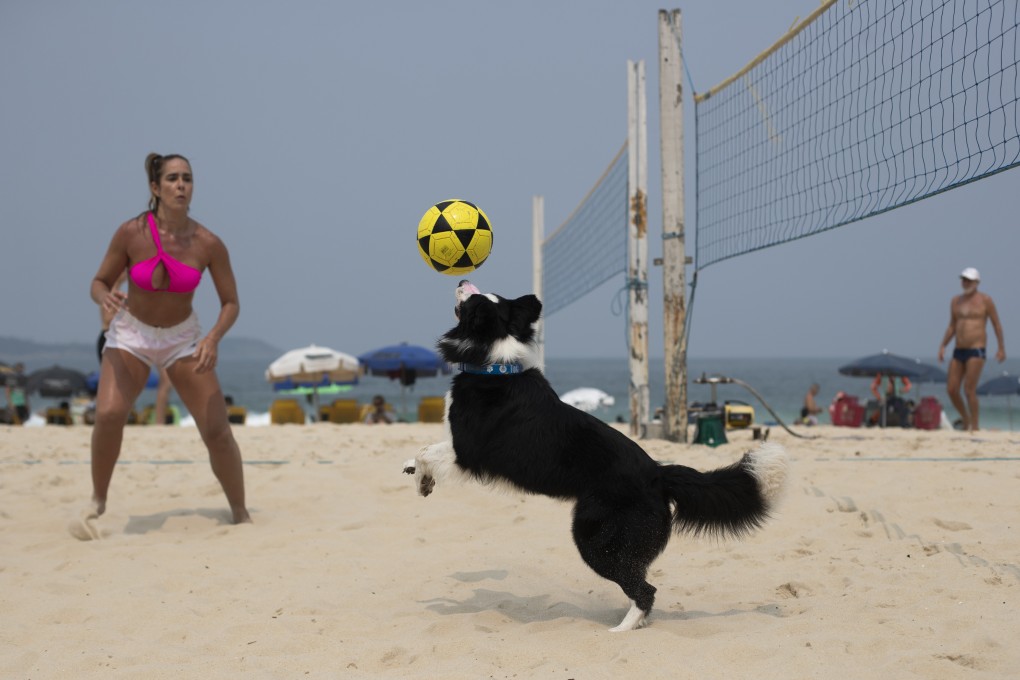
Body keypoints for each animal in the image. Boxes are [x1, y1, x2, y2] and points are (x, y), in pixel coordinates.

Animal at [405, 281, 787, 632]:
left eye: (474, 300)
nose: (461, 281)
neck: (495, 364)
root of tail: (659, 474)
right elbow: (423, 449)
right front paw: (414, 471)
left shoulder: (468, 450)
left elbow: (428, 452)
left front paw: (422, 480)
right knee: (642, 583)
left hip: (595, 538)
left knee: (645, 589)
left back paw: (620, 631)